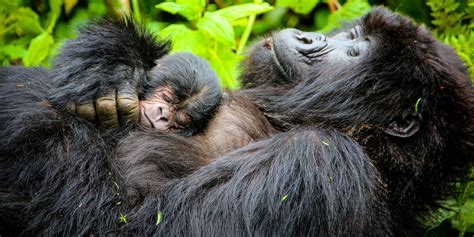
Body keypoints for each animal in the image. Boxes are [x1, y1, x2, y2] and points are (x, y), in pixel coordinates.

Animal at [0, 6, 474, 236]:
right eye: (355, 36)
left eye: (354, 54)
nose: (308, 38)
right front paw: (111, 59)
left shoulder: (320, 164)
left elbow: (125, 224)